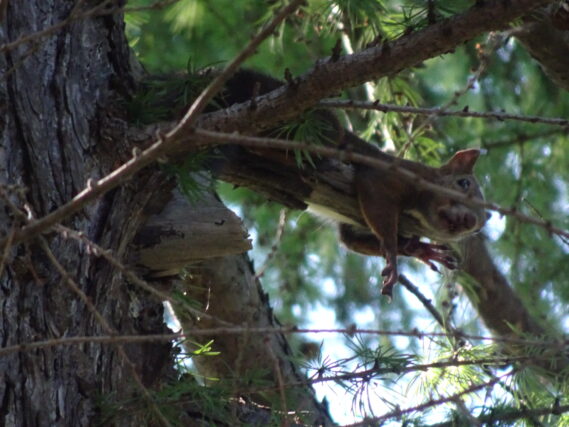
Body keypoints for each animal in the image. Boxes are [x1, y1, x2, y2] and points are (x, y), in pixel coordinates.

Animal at [217, 70, 488, 300]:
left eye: (479, 227)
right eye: (463, 183)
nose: (470, 221)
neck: (419, 214)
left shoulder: (355, 229)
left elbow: (350, 240)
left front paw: (421, 250)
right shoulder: (391, 175)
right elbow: (377, 198)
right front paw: (393, 259)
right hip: (319, 130)